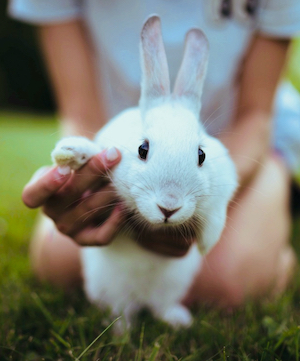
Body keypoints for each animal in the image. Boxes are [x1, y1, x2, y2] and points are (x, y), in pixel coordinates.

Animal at [52, 14, 239, 330]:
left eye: (201, 155)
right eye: (142, 149)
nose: (169, 207)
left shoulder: (223, 187)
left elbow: (216, 216)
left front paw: (206, 244)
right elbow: (93, 153)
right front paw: (69, 152)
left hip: (172, 285)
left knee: (159, 306)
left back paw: (177, 320)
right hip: (111, 287)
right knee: (122, 309)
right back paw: (121, 330)